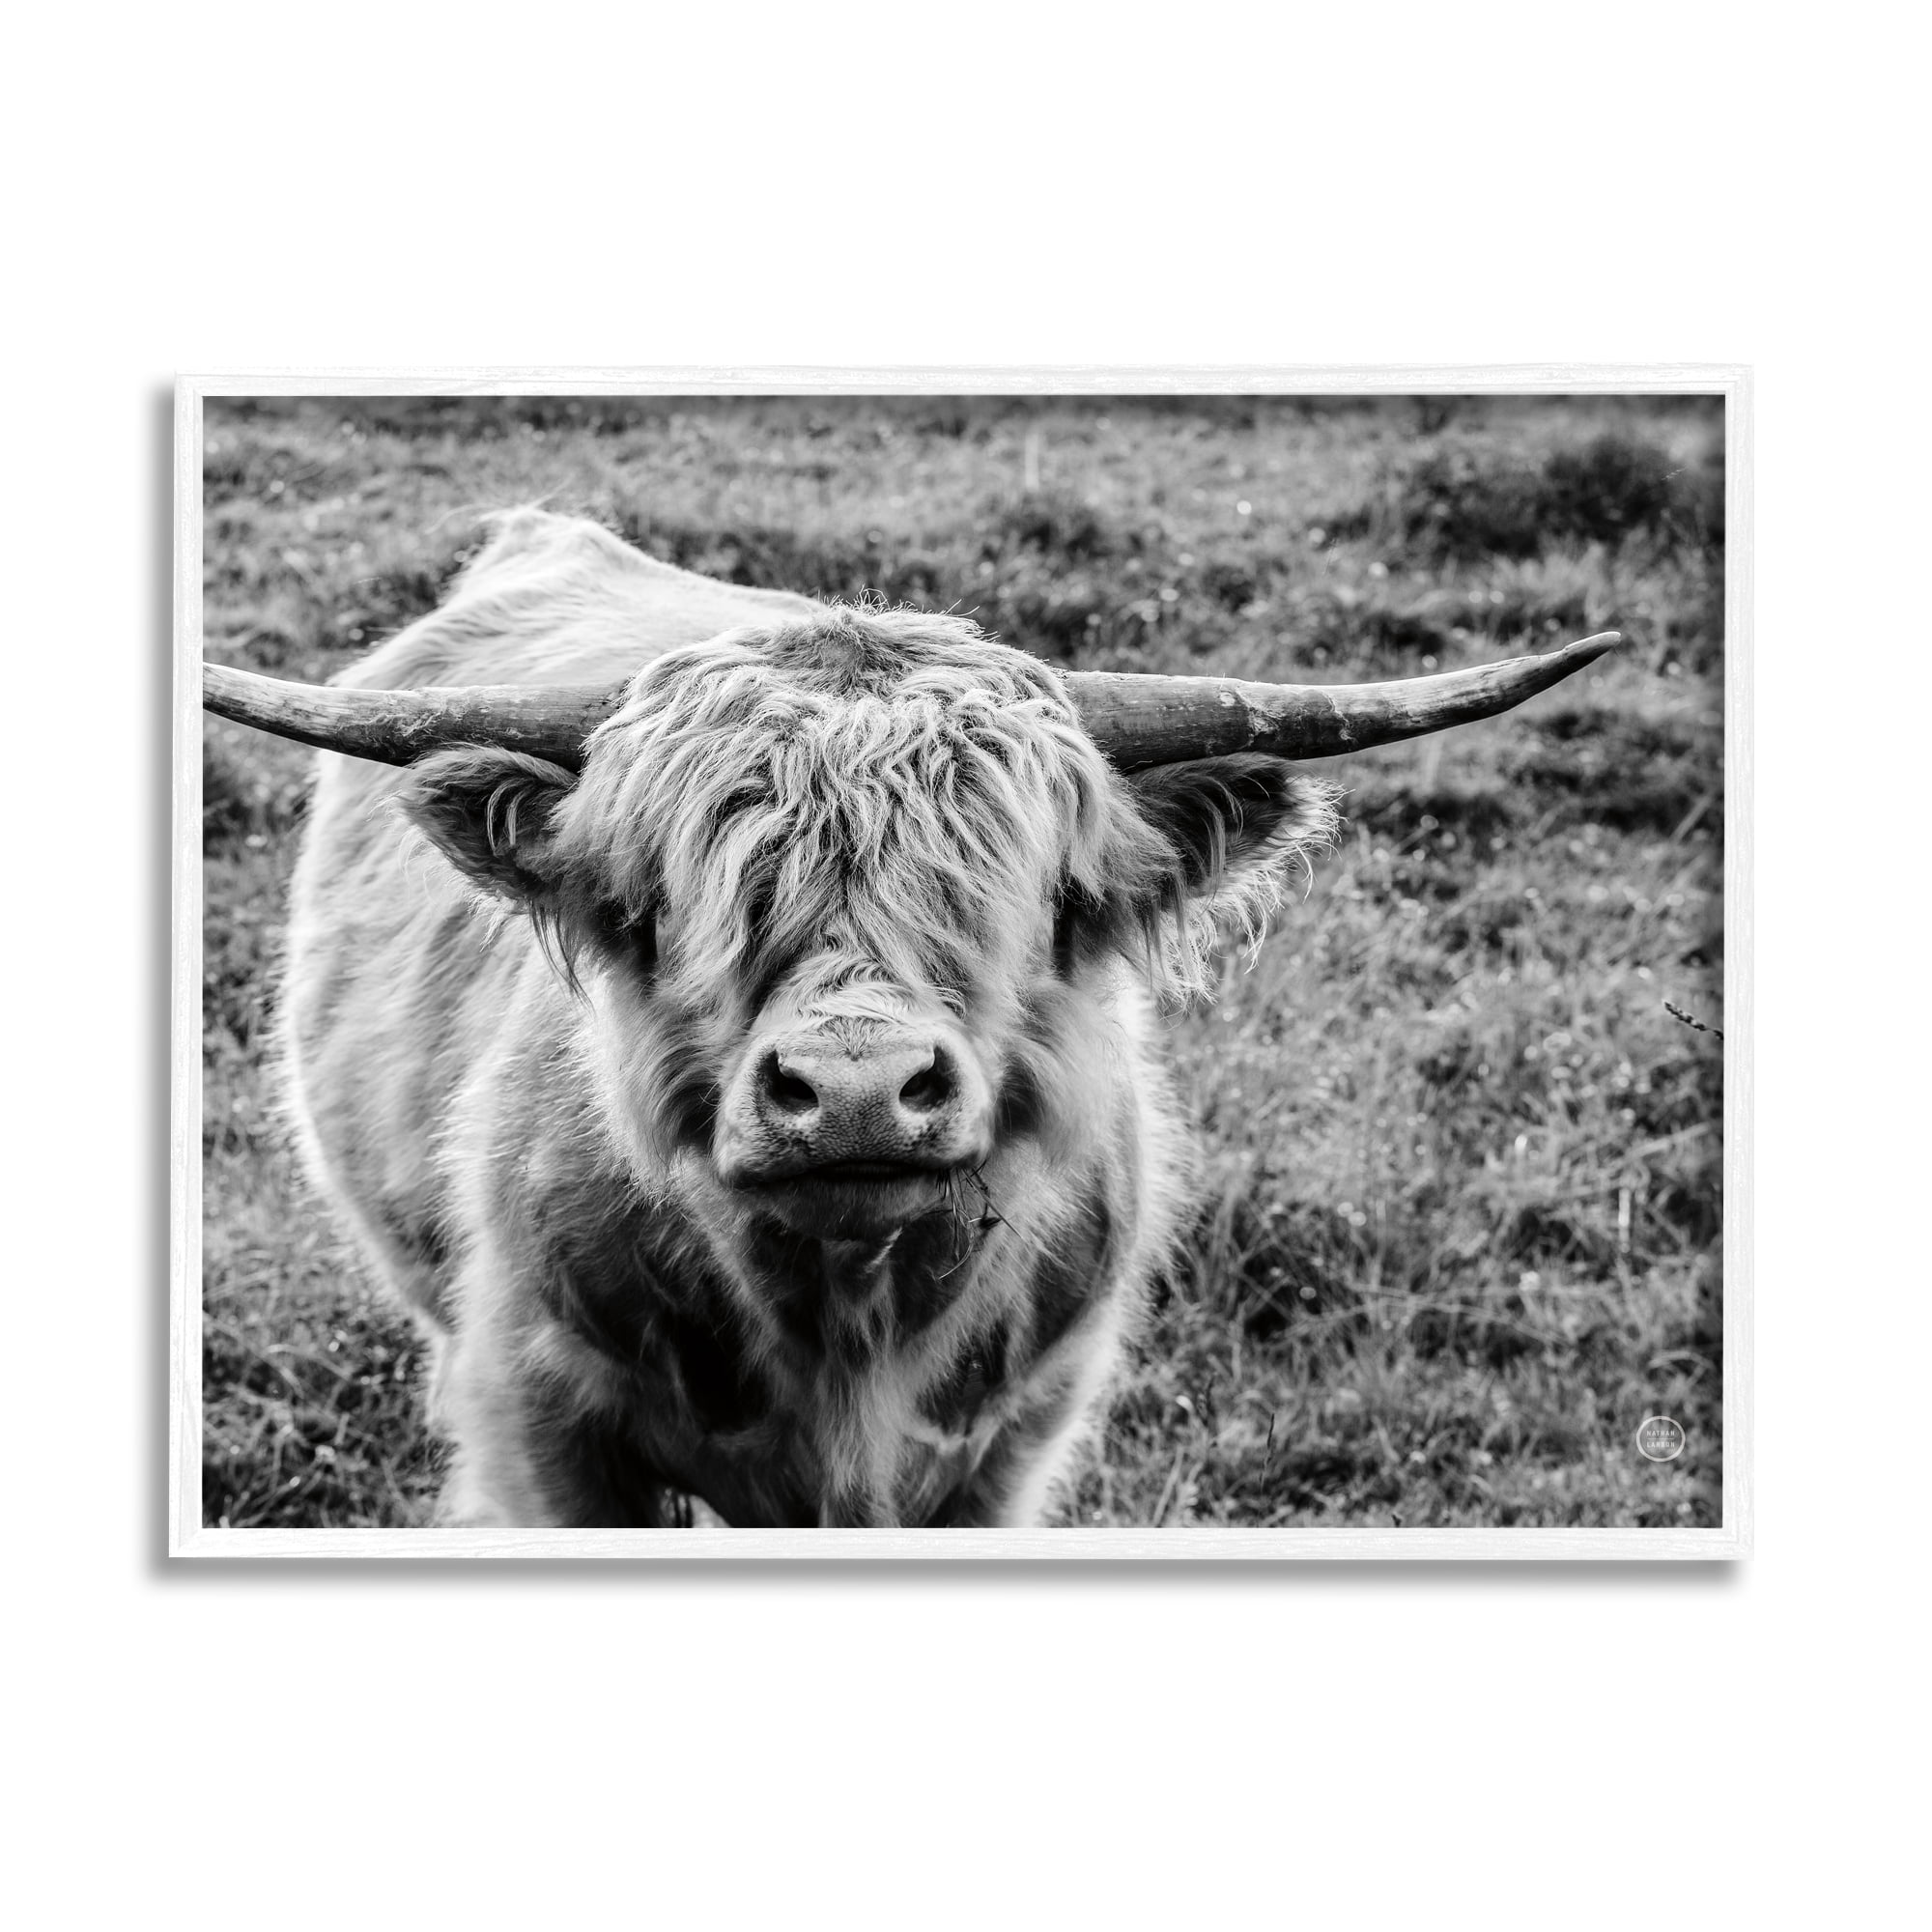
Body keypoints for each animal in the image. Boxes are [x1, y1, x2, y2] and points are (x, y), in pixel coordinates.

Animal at [204, 509, 1617, 1529]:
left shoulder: (1011, 1442)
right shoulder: (542, 1419)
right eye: (680, 893)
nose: (854, 1091)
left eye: (1039, 893)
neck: (843, 1327)